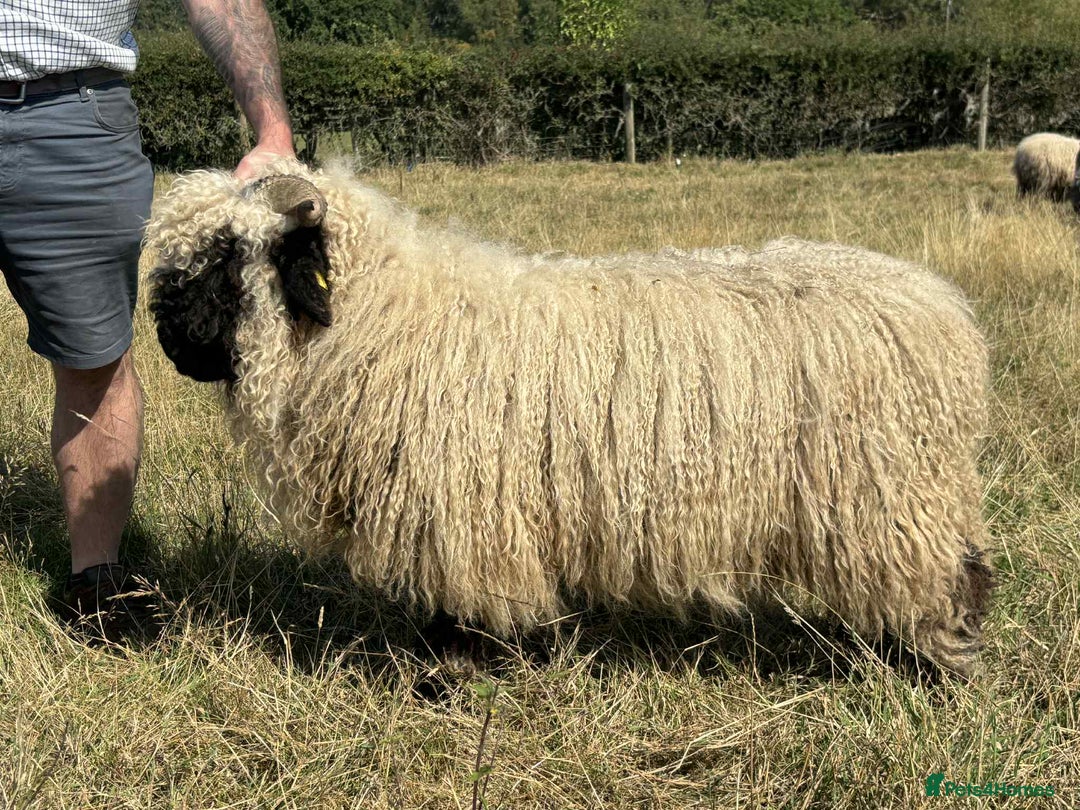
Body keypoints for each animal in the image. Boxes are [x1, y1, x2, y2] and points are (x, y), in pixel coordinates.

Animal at [146, 161, 993, 677]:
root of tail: (944, 310)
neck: (387, 318)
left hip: (891, 494)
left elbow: (462, 607)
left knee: (950, 576)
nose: (168, 340)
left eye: (228, 258)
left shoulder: (465, 509)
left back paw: (933, 670)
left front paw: (449, 678)